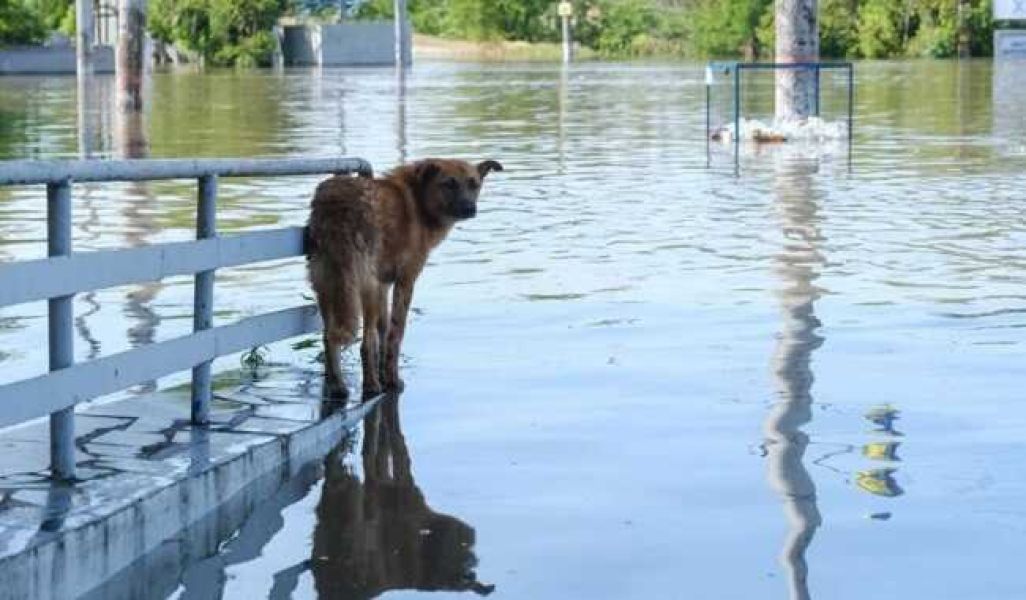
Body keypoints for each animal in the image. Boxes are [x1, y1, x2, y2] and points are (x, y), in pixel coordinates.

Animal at [305, 157, 502, 397]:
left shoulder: (383, 284)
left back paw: (337, 386)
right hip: (363, 286)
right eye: (449, 184)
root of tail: (336, 201)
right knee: (365, 341)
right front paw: (391, 379)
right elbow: (395, 333)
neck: (421, 199)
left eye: (474, 184)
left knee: (328, 337)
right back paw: (371, 386)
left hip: (326, 284)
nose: (469, 208)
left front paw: (383, 372)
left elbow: (384, 328)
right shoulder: (405, 280)